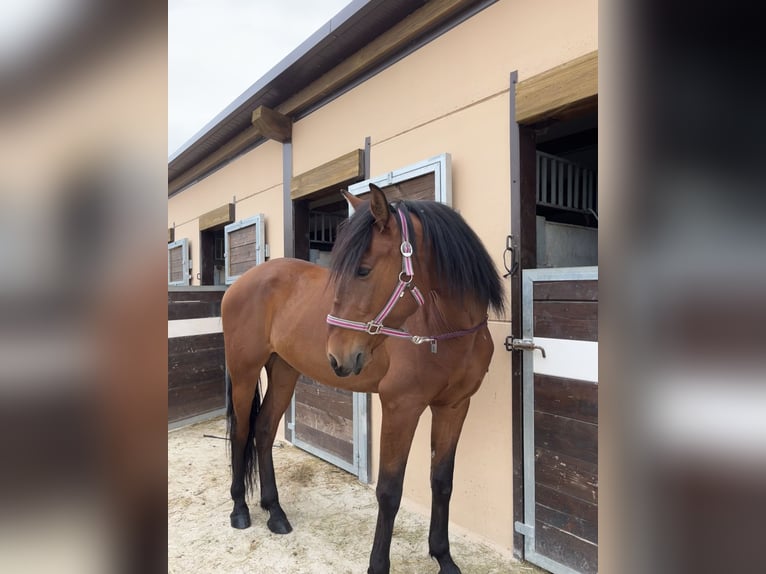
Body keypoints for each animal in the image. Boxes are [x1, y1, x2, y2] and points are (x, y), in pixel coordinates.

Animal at [224, 186, 504, 574]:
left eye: (363, 270)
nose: (337, 357)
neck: (443, 330)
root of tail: (242, 283)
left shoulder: (454, 407)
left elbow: (442, 481)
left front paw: (443, 557)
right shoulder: (401, 408)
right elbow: (389, 491)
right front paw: (378, 565)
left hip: (283, 371)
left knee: (263, 430)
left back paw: (275, 512)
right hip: (244, 371)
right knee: (240, 432)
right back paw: (240, 509)